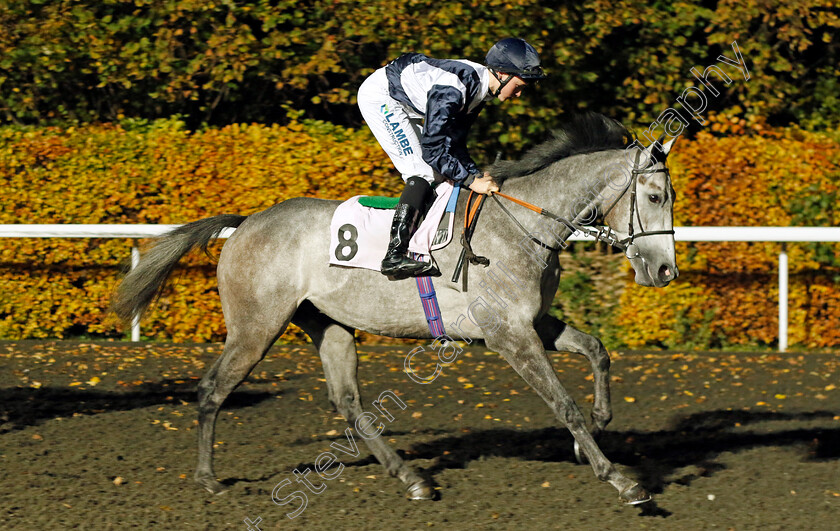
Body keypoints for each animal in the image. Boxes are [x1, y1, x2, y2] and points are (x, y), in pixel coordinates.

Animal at [111, 113, 680, 508]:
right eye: (655, 195)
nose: (664, 270)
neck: (522, 224)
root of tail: (248, 221)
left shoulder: (531, 322)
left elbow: (597, 350)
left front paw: (598, 428)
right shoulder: (508, 334)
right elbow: (562, 403)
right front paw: (621, 479)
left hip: (329, 324)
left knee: (348, 402)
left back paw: (411, 478)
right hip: (256, 327)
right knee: (213, 389)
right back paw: (208, 479)